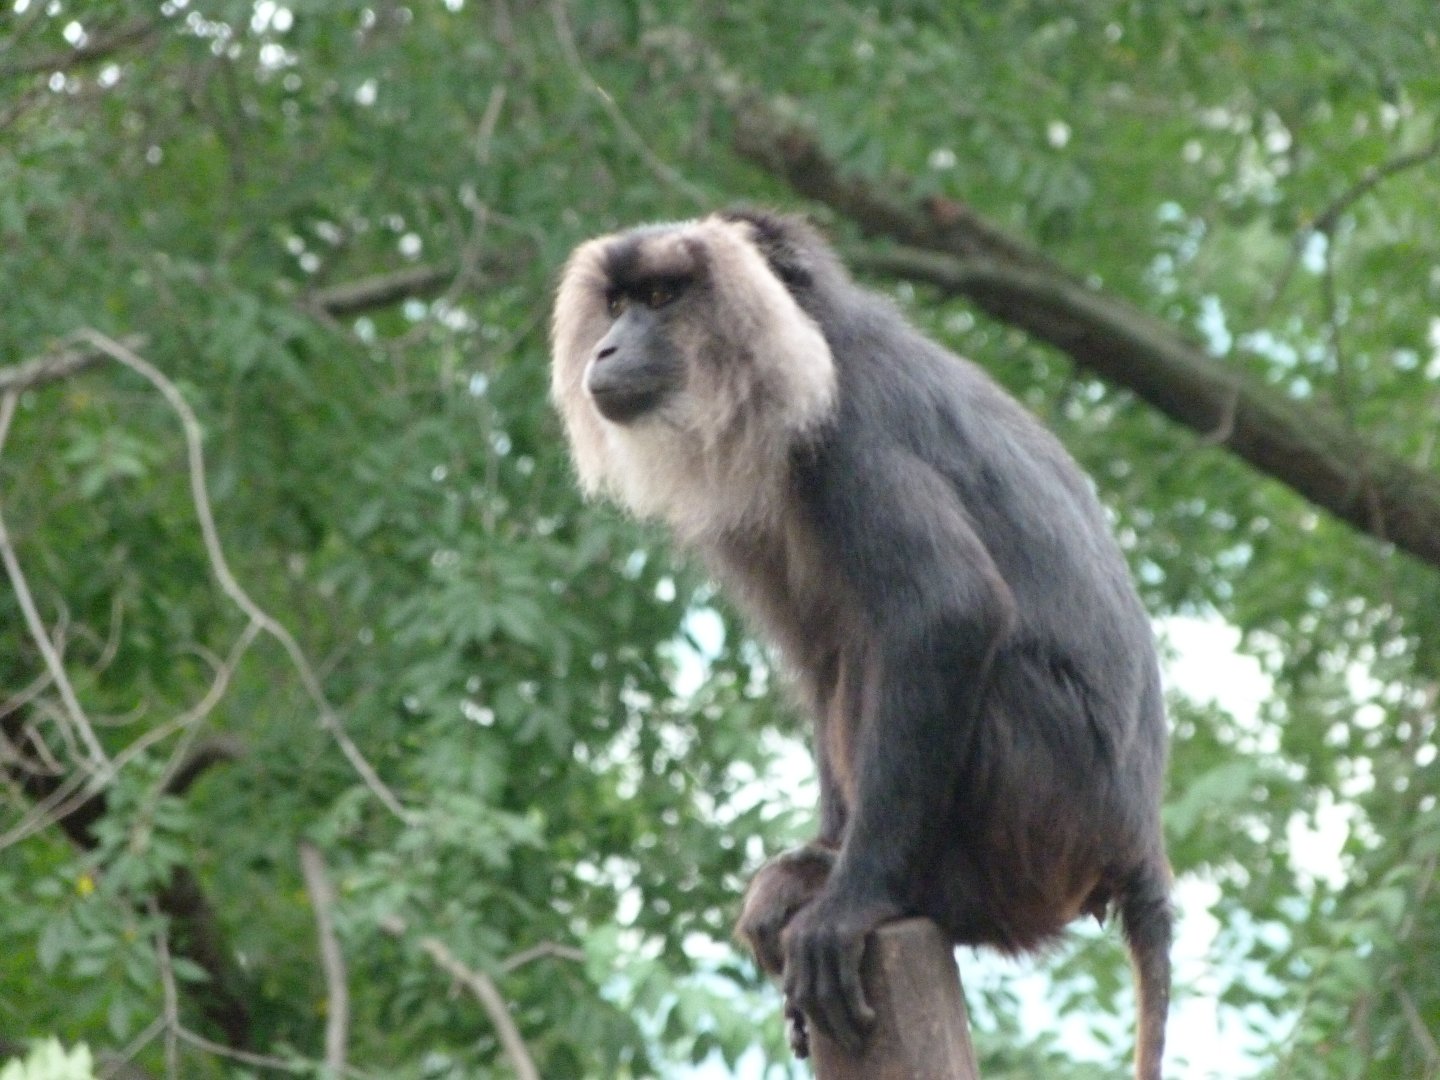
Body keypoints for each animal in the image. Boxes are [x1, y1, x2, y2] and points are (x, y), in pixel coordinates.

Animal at [550, 208, 1172, 1080]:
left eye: (663, 298)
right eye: (616, 306)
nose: (606, 350)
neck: (814, 347)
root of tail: (1136, 844)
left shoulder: (850, 433)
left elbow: (950, 611)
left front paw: (851, 899)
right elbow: (825, 660)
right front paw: (820, 859)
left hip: (1050, 809)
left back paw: (933, 894)